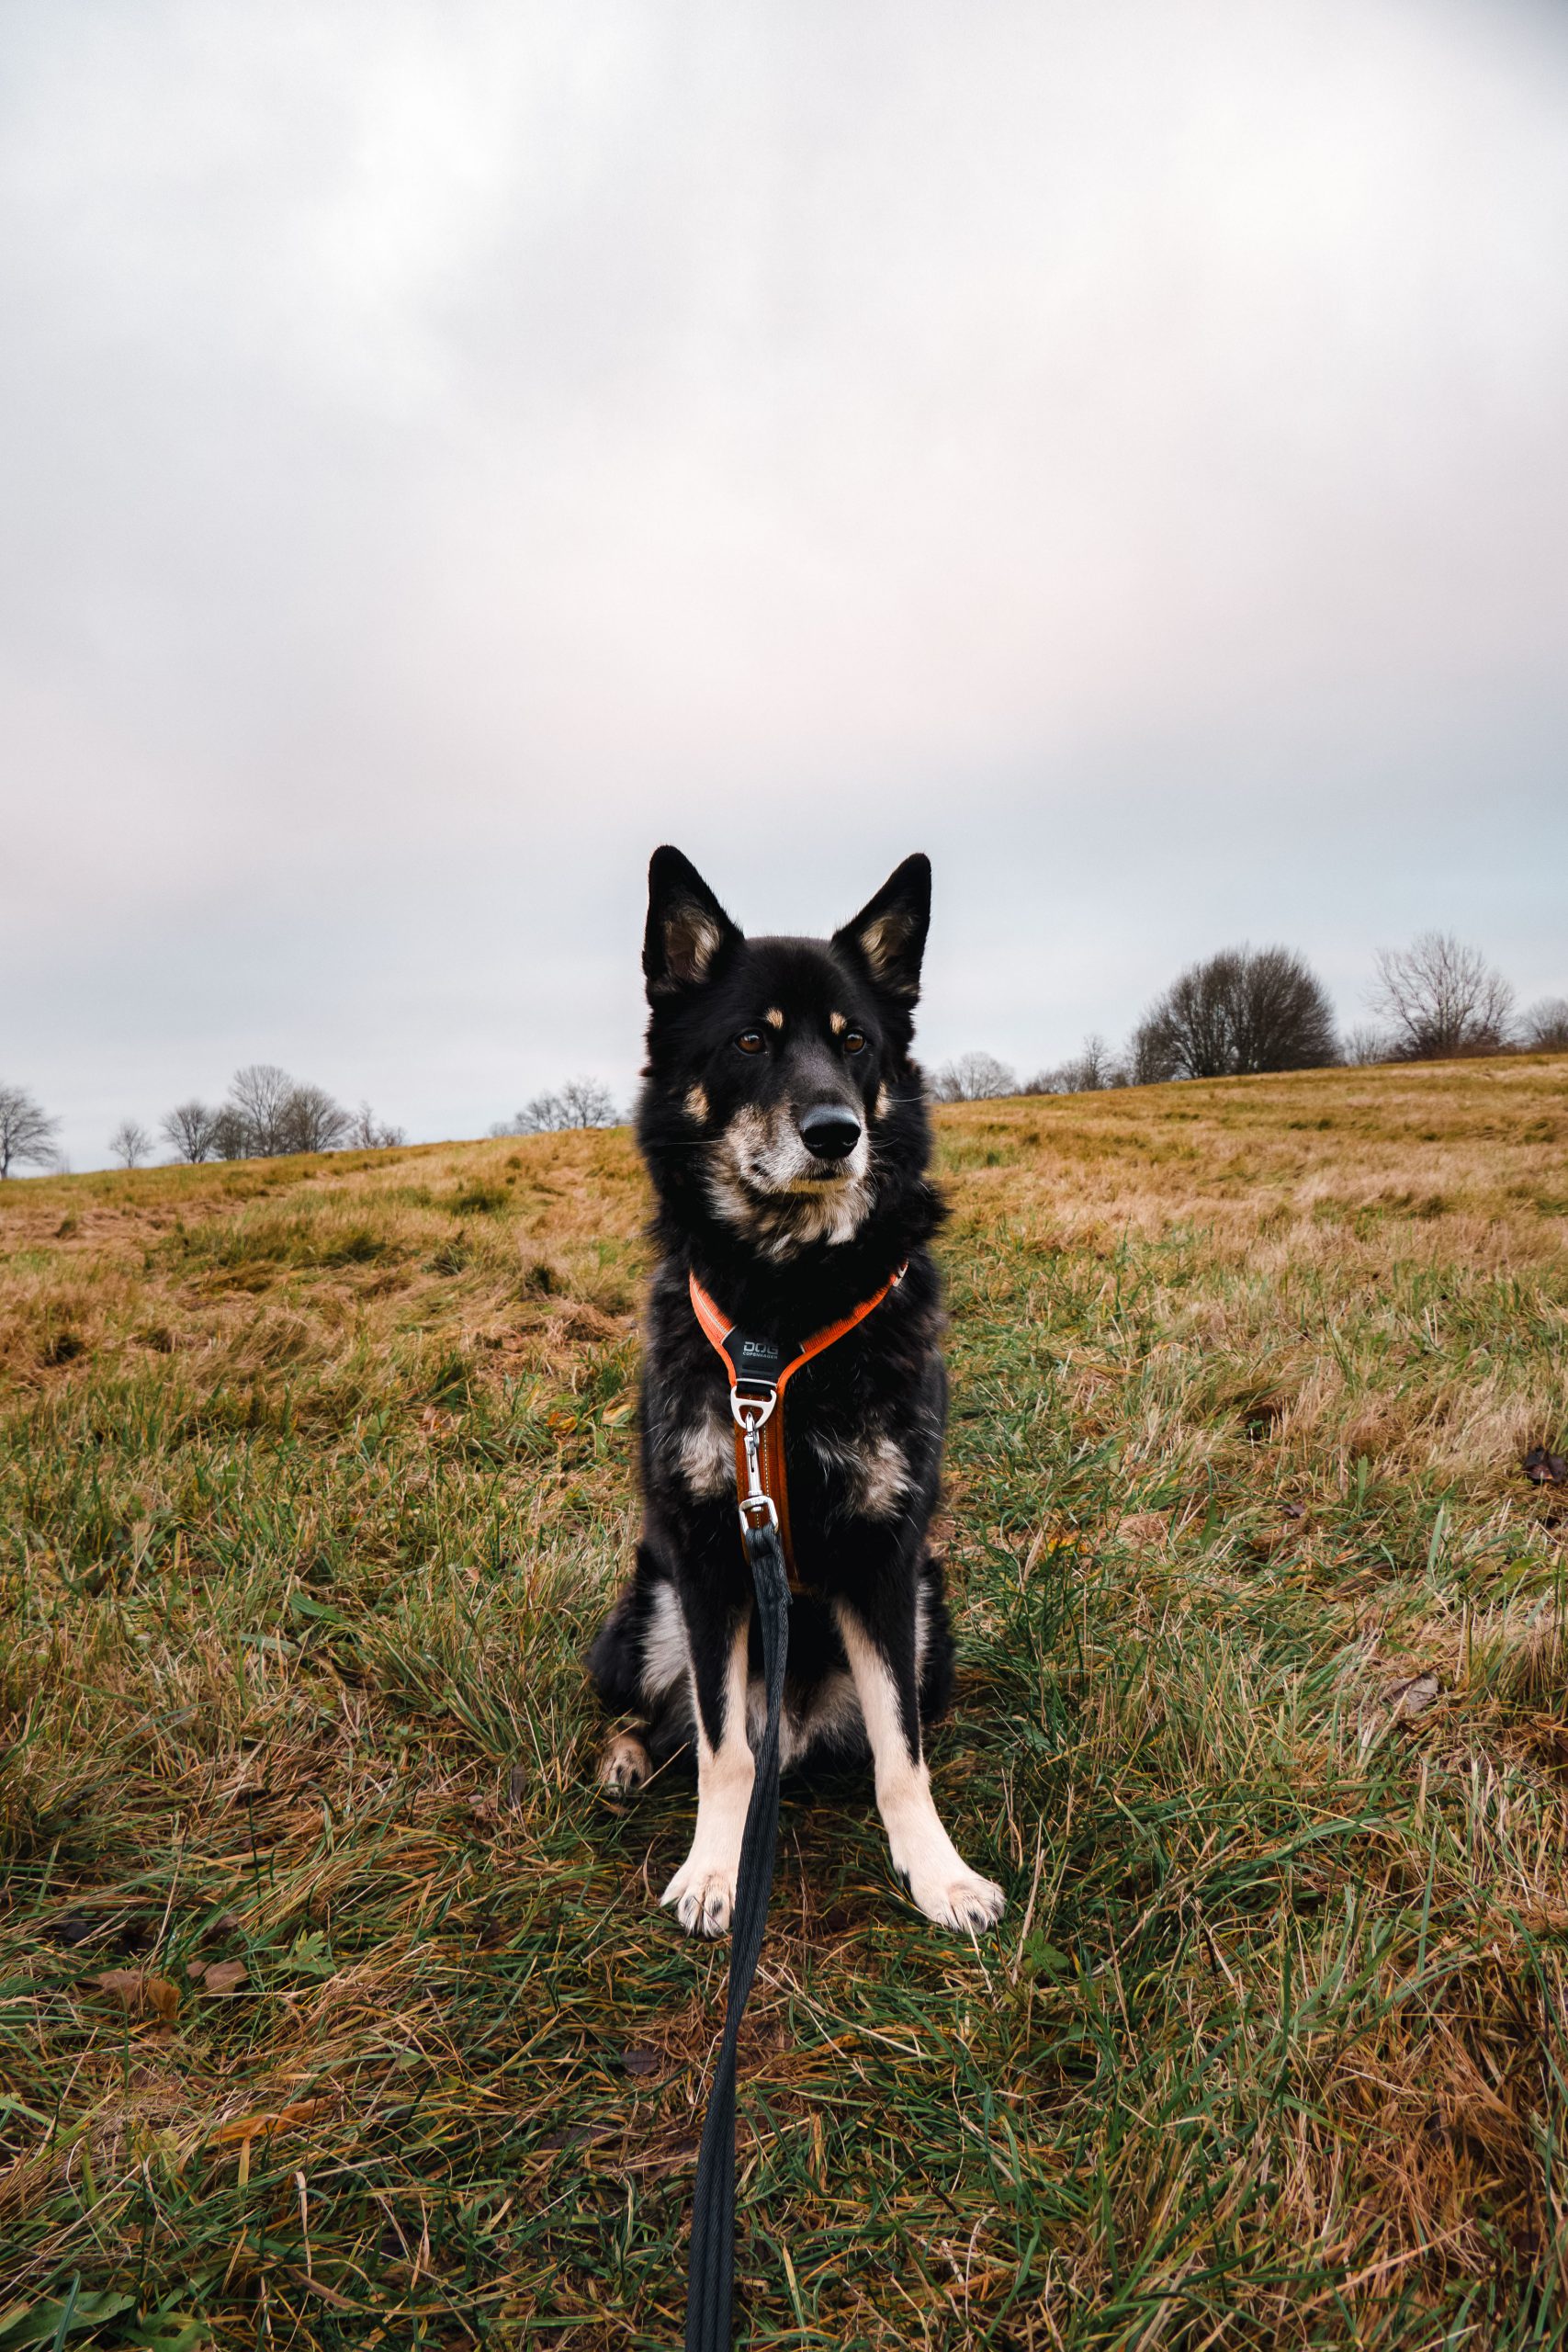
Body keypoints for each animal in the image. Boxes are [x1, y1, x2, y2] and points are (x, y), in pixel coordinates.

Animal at [587, 842, 1006, 1928]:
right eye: (749, 1040)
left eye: (855, 1041)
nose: (835, 1131)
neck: (786, 1300)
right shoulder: (707, 1559)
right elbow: (724, 1749)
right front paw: (713, 1871)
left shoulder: (888, 1560)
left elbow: (904, 1755)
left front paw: (937, 1870)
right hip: (643, 1613)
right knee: (659, 1720)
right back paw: (624, 1762)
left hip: (934, 1620)